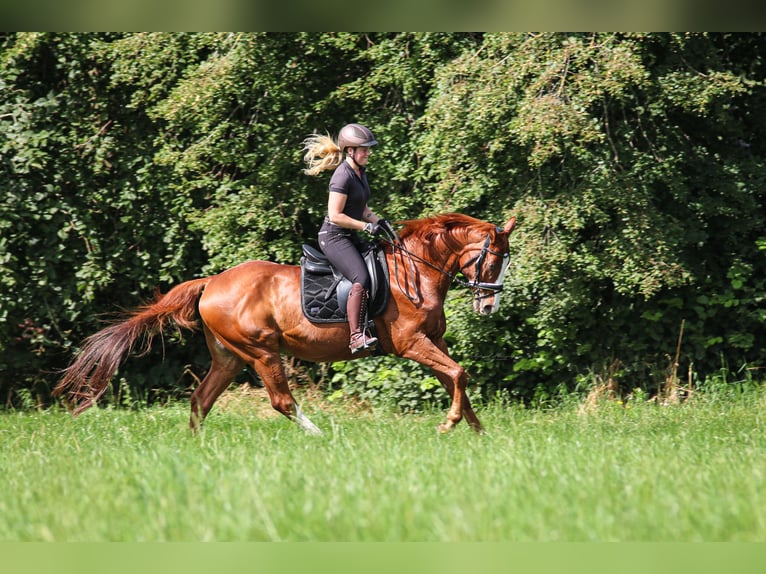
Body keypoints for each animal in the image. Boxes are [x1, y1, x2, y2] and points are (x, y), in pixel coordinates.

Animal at [54, 214, 520, 434]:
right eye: (493, 258)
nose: (489, 306)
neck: (416, 273)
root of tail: (211, 283)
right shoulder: (410, 343)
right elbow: (458, 374)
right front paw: (450, 425)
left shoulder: (433, 341)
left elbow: (457, 377)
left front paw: (477, 432)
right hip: (261, 352)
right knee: (281, 401)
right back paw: (320, 435)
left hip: (229, 357)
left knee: (201, 400)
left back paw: (196, 447)